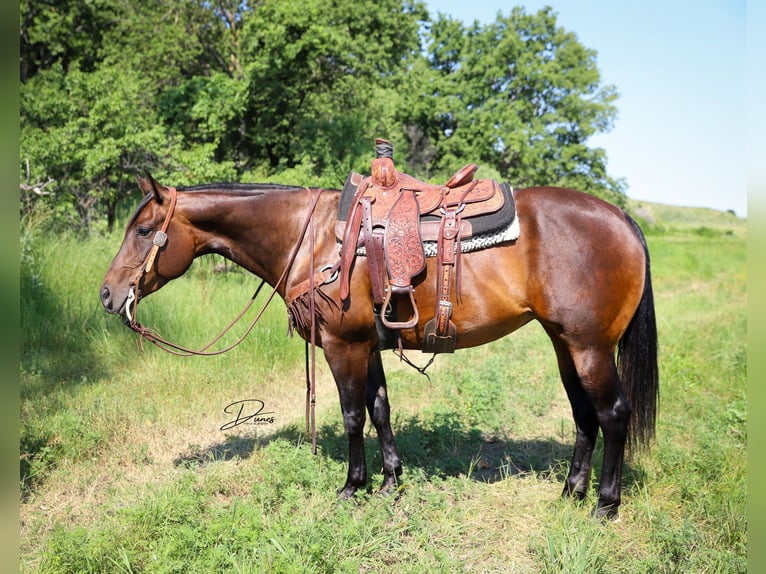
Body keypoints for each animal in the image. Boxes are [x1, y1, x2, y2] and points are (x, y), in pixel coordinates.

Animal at [100, 173, 660, 520]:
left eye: (145, 230)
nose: (108, 294)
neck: (312, 238)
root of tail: (623, 219)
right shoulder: (367, 346)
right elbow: (380, 409)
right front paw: (391, 481)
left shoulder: (342, 346)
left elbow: (352, 416)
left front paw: (352, 485)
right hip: (566, 345)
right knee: (584, 416)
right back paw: (570, 491)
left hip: (589, 348)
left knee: (612, 413)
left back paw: (605, 504)